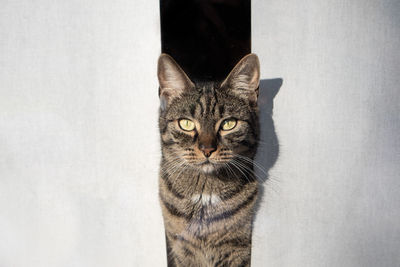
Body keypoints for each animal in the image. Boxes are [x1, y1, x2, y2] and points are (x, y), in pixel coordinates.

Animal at [156, 53, 260, 266]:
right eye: (186, 124)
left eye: (229, 123)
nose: (207, 149)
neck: (205, 193)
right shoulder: (181, 249)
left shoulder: (239, 249)